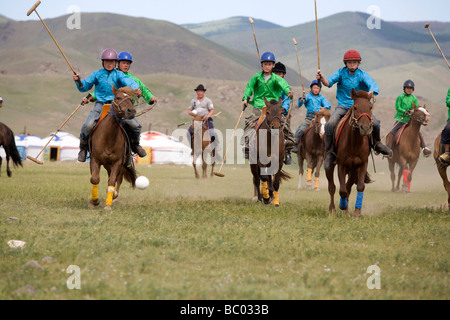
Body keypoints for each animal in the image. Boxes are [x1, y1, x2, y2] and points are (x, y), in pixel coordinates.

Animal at [326, 89, 372, 219]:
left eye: (370, 107)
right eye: (355, 107)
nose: (365, 128)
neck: (354, 143)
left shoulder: (361, 165)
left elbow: (358, 187)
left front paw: (356, 213)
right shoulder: (341, 165)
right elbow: (342, 190)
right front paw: (341, 206)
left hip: (352, 170)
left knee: (348, 187)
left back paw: (346, 212)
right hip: (329, 166)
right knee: (332, 187)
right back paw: (332, 210)